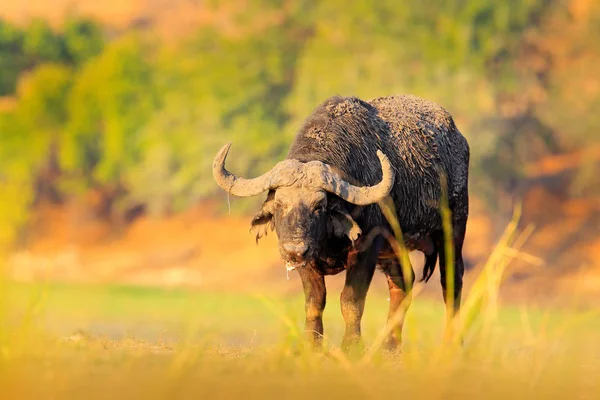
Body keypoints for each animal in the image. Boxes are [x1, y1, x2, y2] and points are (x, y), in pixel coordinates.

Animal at [213, 94, 472, 350]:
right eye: (279, 204)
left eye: (319, 206)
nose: (294, 250)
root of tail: (459, 139)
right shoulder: (308, 259)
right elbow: (314, 302)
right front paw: (312, 345)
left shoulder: (366, 247)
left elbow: (351, 300)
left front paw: (352, 347)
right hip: (393, 248)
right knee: (403, 283)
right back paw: (390, 345)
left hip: (454, 226)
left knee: (451, 282)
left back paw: (452, 342)